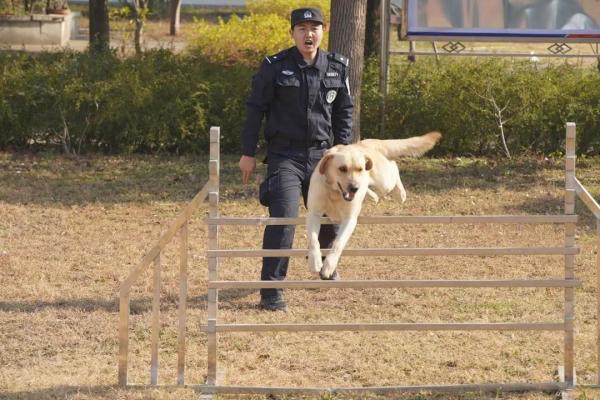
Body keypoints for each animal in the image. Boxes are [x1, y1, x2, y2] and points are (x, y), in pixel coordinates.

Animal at [304, 131, 440, 278]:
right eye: (342, 168)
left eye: (360, 169)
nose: (354, 188)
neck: (335, 192)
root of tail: (365, 143)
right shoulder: (314, 213)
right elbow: (313, 240)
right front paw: (314, 262)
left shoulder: (349, 219)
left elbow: (338, 243)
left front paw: (328, 266)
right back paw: (373, 196)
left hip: (384, 181)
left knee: (393, 168)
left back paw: (400, 193)